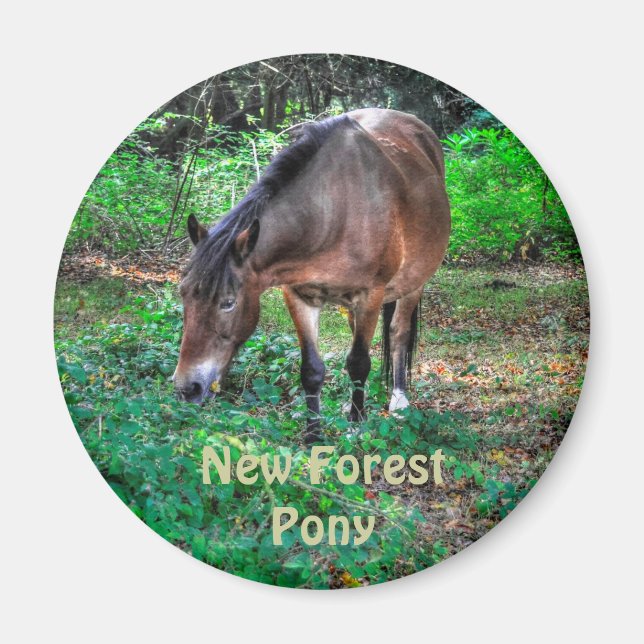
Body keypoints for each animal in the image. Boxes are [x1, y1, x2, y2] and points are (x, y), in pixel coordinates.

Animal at [173, 108, 451, 443]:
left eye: (228, 302)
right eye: (183, 294)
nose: (188, 388)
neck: (334, 213)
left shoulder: (370, 295)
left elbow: (359, 362)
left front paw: (356, 425)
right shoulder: (298, 296)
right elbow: (312, 370)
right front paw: (314, 435)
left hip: (413, 284)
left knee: (399, 333)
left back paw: (398, 400)